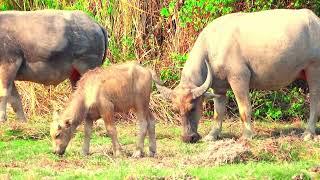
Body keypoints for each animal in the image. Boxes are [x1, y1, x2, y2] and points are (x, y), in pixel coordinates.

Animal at [156, 8, 320, 143]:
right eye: (175, 110)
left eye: (193, 108)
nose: (187, 138)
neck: (213, 48)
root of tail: (316, 20)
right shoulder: (219, 88)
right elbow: (218, 112)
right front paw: (212, 135)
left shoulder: (239, 78)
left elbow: (244, 108)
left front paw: (247, 135)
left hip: (314, 69)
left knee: (314, 101)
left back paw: (308, 133)